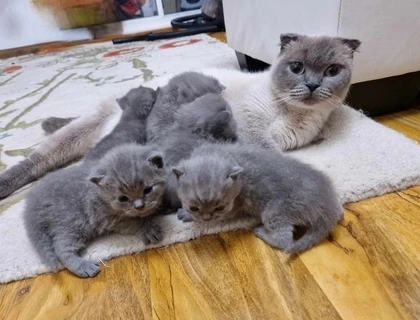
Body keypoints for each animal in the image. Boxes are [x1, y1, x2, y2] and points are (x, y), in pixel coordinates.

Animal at [172, 144, 342, 254]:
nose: (207, 218)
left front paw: (187, 216)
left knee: (284, 239)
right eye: (194, 207)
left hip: (275, 211)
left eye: (220, 208)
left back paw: (262, 233)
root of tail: (327, 203)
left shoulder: (234, 208)